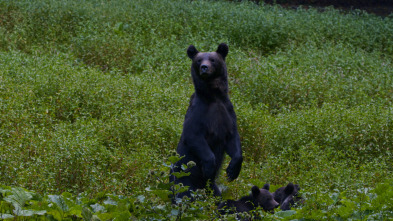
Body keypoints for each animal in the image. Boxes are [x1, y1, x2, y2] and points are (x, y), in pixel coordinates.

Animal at [168, 43, 242, 200]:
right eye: (198, 60)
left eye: (213, 59)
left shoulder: (227, 112)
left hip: (212, 188)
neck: (214, 96)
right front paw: (209, 166)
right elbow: (193, 136)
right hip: (184, 182)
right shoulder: (198, 112)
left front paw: (232, 170)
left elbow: (233, 138)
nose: (204, 67)